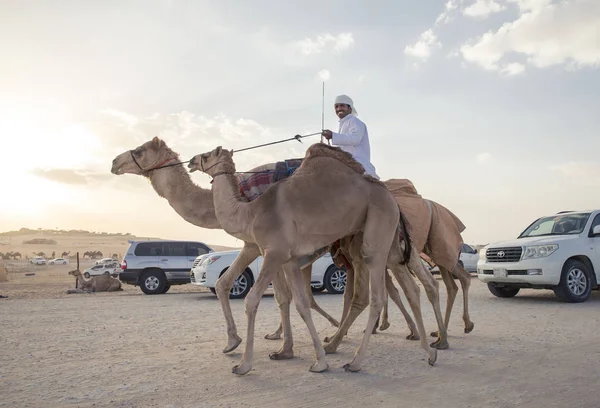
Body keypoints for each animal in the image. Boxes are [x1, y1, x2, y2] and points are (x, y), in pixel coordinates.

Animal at [188, 143, 436, 372]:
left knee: (378, 294)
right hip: (389, 240)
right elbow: (302, 303)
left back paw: (356, 362)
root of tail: (393, 199)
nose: (191, 160)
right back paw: (428, 351)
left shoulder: (274, 253)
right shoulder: (289, 260)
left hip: (377, 229)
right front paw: (318, 361)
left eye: (207, 155)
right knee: (411, 287)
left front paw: (243, 364)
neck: (250, 213)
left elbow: (252, 300)